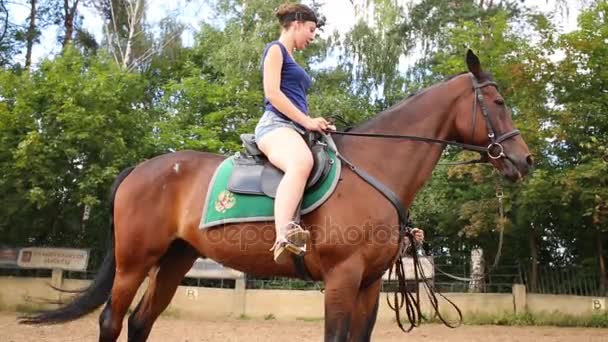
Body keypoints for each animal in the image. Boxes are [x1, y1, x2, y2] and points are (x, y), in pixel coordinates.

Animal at [21, 51, 528, 342]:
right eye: (499, 103)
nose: (524, 160)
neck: (375, 170)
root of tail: (140, 169)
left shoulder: (368, 285)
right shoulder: (342, 279)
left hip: (175, 260)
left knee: (141, 321)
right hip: (134, 261)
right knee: (112, 320)